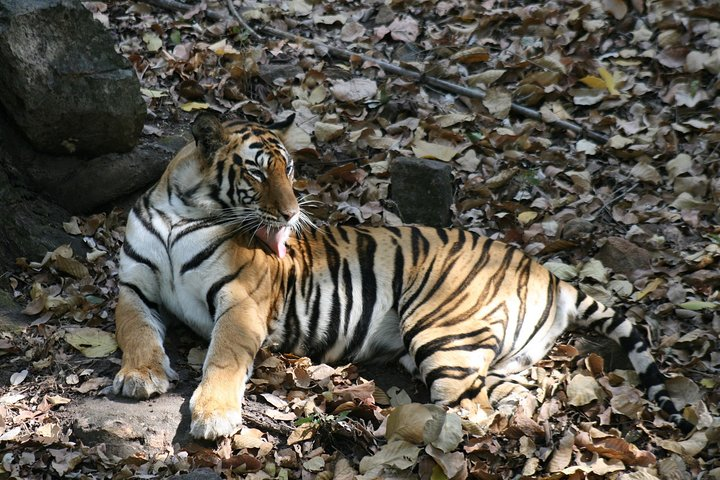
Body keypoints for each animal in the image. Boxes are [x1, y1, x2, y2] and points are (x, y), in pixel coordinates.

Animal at [112, 112, 693, 439]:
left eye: (291, 171)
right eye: (258, 172)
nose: (294, 212)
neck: (181, 211)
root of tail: (547, 273)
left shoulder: (241, 302)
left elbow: (224, 358)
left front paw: (212, 415)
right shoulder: (134, 287)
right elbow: (134, 330)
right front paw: (141, 376)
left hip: (441, 333)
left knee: (472, 414)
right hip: (490, 355)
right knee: (518, 394)